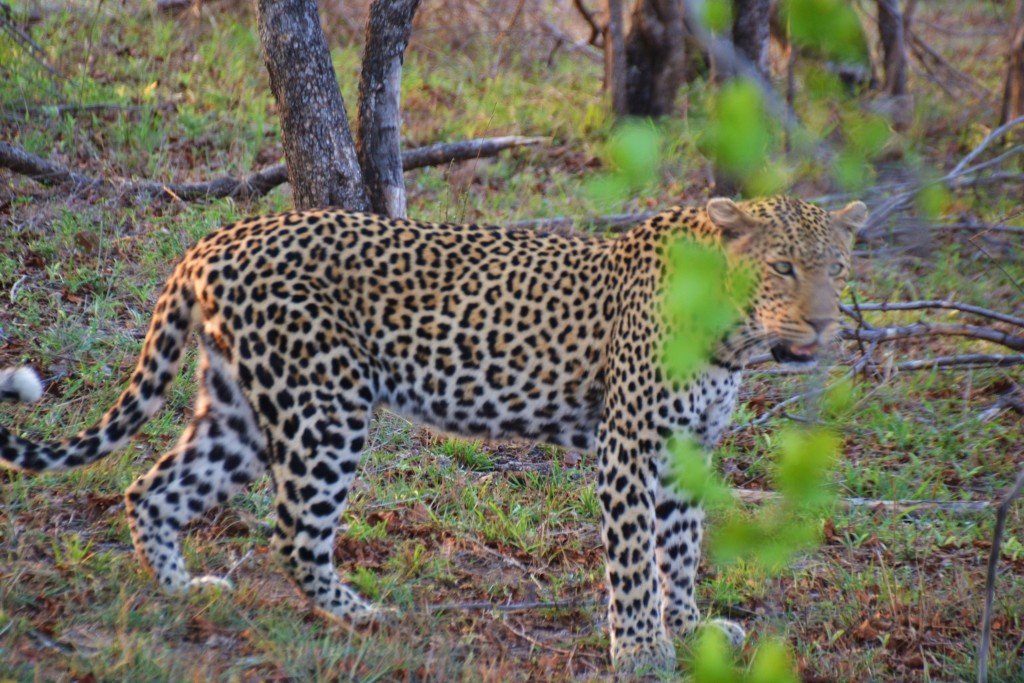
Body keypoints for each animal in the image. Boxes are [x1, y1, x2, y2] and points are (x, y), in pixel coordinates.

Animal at [2, 196, 864, 671]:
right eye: (784, 267)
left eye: (838, 267)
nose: (825, 322)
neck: (733, 335)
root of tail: (216, 238)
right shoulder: (629, 446)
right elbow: (633, 558)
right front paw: (642, 650)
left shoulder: (686, 448)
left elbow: (679, 549)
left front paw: (689, 631)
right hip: (325, 404)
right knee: (293, 529)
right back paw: (359, 614)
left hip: (239, 410)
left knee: (151, 486)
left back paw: (182, 590)